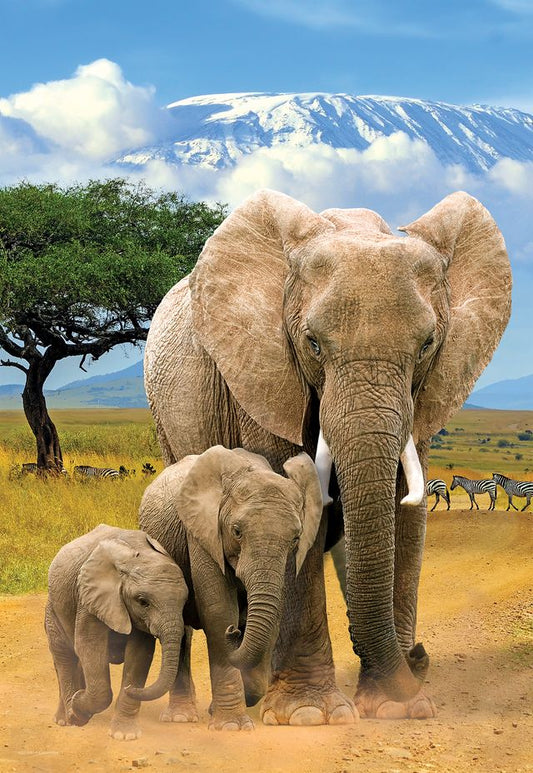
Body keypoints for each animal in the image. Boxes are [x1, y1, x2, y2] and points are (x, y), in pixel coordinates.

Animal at [45, 524, 188, 740]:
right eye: (143, 602)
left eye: (185, 602)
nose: (131, 689)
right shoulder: (90, 597)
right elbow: (89, 645)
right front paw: (77, 710)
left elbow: (139, 654)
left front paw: (124, 735)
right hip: (53, 608)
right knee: (64, 656)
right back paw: (66, 718)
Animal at [138, 445, 323, 730]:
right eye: (236, 531)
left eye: (295, 537)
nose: (234, 632)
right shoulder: (202, 532)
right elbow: (219, 611)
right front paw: (230, 726)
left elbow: (274, 616)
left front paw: (223, 708)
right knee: (180, 631)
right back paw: (181, 717)